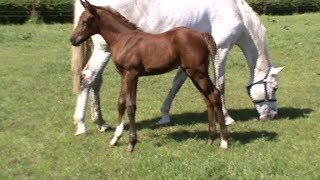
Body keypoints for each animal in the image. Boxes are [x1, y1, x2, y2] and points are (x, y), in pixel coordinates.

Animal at [71, 0, 229, 152]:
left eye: (85, 21)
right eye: (79, 19)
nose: (73, 40)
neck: (124, 39)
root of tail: (202, 35)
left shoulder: (132, 74)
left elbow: (130, 106)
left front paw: (131, 143)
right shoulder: (124, 75)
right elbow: (121, 103)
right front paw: (115, 139)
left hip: (198, 72)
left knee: (214, 94)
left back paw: (224, 141)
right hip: (193, 73)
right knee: (207, 98)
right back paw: (211, 139)